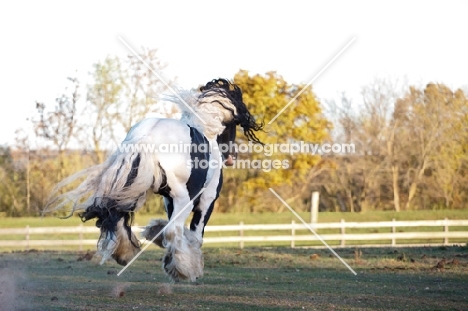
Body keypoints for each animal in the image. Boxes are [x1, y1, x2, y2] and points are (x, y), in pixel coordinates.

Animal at [44, 78, 264, 282]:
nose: (231, 157)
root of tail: (146, 137)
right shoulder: (206, 199)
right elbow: (194, 234)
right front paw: (187, 265)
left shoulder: (167, 199)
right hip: (182, 198)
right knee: (172, 229)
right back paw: (183, 270)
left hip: (131, 186)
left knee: (116, 215)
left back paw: (125, 254)